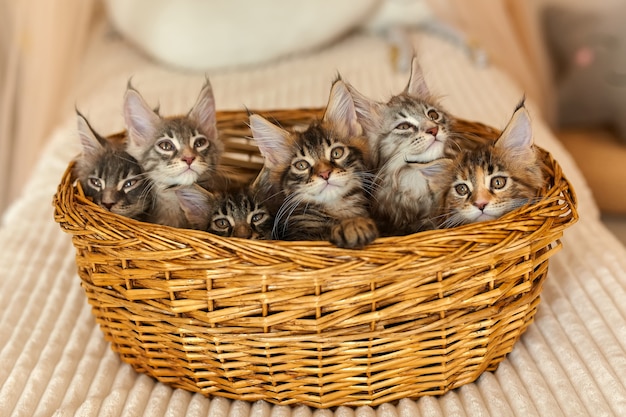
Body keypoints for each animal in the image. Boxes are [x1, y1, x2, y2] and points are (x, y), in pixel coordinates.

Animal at [247, 78, 376, 247]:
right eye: (301, 165)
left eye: (337, 153)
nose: (325, 174)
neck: (336, 212)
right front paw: (352, 226)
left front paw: (355, 224)